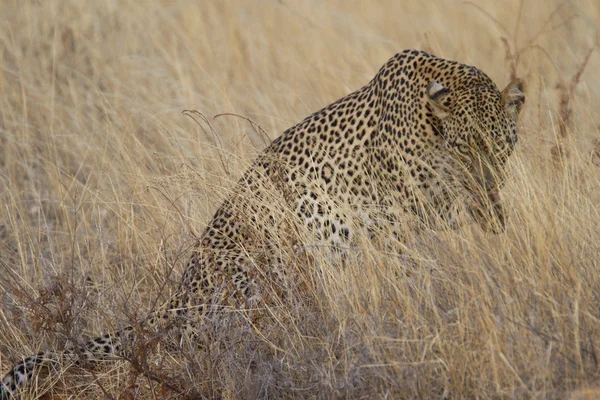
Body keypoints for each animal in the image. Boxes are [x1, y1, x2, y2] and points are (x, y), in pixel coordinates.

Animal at [0, 49, 524, 396]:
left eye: (501, 147)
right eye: (465, 147)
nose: (489, 182)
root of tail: (175, 298)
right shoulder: (400, 216)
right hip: (262, 271)